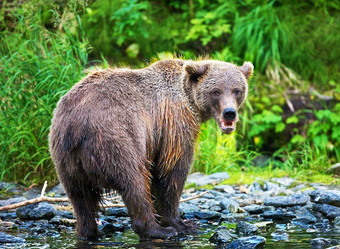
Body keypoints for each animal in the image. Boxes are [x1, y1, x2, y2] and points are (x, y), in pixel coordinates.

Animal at [49, 59, 254, 240]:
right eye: (216, 91)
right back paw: (158, 230)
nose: (229, 113)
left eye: (237, 90)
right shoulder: (174, 125)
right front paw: (181, 223)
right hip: (116, 139)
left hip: (66, 158)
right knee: (135, 182)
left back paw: (89, 232)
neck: (190, 101)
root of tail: (76, 125)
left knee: (80, 198)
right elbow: (171, 172)